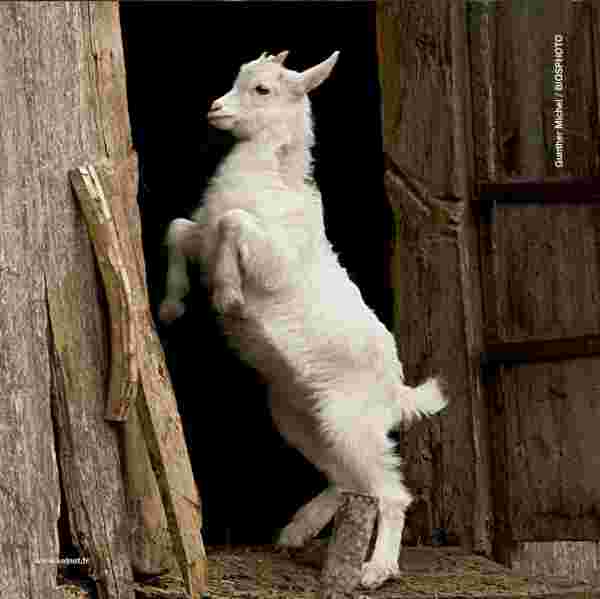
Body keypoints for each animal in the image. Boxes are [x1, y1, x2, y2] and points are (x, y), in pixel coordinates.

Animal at [159, 50, 447, 589]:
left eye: (263, 89)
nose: (215, 109)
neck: (271, 178)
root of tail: (396, 390)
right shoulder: (201, 240)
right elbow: (179, 228)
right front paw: (172, 305)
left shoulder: (268, 260)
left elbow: (233, 223)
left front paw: (229, 296)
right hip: (300, 416)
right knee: (347, 479)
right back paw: (298, 530)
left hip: (351, 420)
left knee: (389, 492)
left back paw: (376, 569)